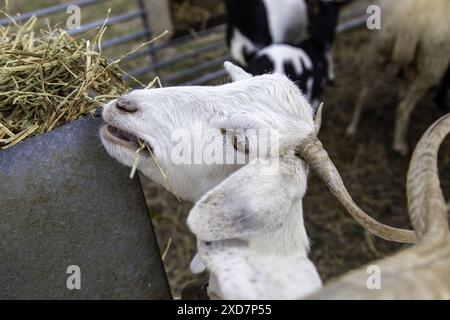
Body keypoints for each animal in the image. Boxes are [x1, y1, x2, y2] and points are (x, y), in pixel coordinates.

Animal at [348, 0, 450, 155]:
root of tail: (410, 24)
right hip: (432, 65)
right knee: (403, 109)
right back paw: (399, 145)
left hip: (378, 49)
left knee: (363, 94)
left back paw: (352, 128)